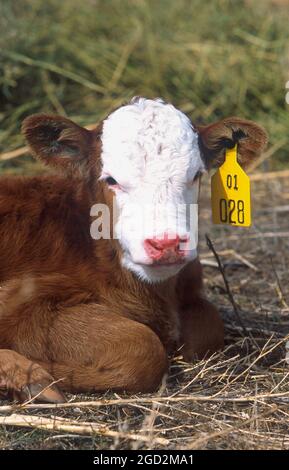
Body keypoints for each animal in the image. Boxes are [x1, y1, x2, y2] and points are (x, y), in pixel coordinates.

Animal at [0, 97, 266, 402]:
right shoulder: (21, 302)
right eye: (111, 180)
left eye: (196, 174)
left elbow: (208, 327)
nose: (166, 243)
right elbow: (143, 347)